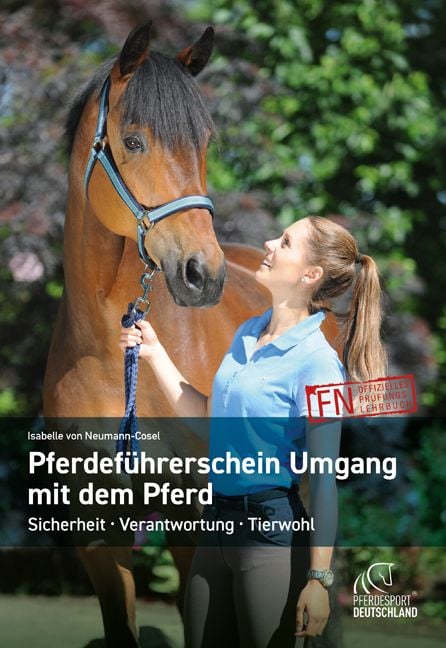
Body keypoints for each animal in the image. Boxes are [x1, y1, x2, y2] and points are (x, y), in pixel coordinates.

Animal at [43, 22, 338, 648]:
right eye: (133, 141)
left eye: (203, 144)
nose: (203, 274)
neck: (112, 364)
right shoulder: (96, 532)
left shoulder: (197, 516)